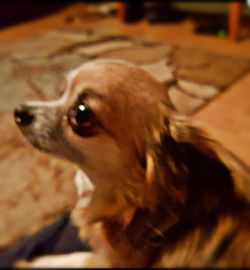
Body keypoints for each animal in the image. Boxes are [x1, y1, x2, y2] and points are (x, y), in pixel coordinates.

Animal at [13, 59, 250, 268]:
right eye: (63, 91)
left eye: (82, 114)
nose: (19, 111)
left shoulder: (107, 262)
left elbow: (76, 258)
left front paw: (35, 261)